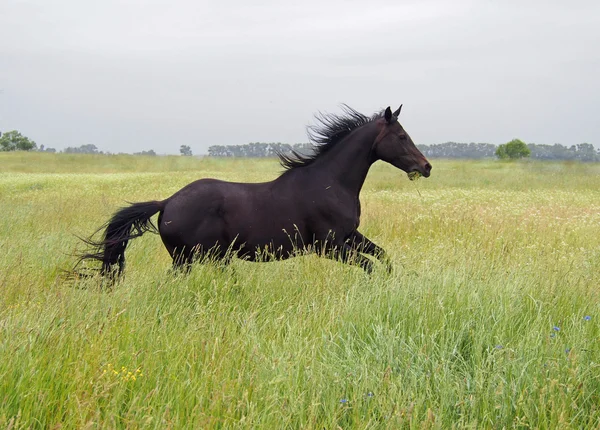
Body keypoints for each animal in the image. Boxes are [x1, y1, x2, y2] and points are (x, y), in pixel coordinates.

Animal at [76, 105, 432, 278]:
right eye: (401, 136)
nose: (426, 167)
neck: (330, 182)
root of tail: (167, 202)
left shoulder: (350, 236)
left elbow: (383, 259)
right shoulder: (328, 245)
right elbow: (371, 266)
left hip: (206, 259)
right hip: (191, 259)